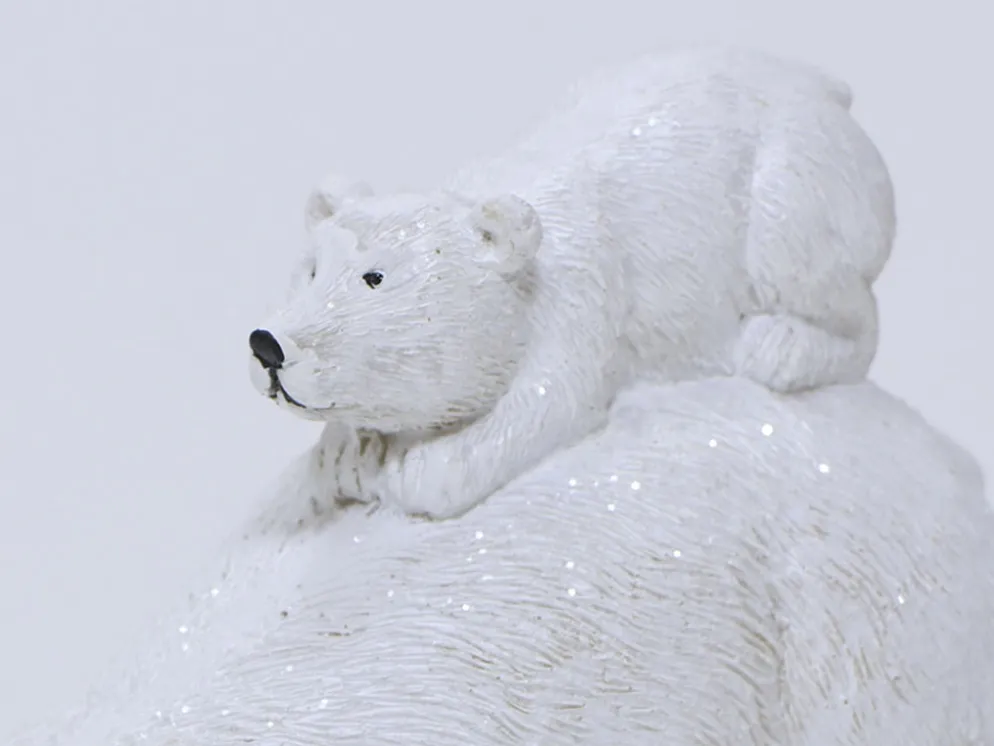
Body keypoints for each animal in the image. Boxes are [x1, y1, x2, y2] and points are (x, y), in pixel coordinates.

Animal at [248, 46, 895, 519]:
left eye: (375, 277)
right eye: (310, 267)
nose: (267, 346)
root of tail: (822, 87)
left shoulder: (577, 292)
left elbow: (549, 403)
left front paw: (413, 468)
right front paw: (346, 454)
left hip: (795, 181)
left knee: (818, 278)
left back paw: (778, 346)